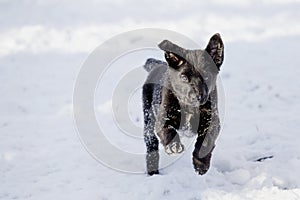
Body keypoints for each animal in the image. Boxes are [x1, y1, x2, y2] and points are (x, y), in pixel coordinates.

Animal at [143, 33, 225, 176]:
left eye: (207, 77)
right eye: (184, 78)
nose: (196, 97)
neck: (189, 107)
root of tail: (158, 65)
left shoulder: (212, 121)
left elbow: (206, 143)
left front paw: (201, 164)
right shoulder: (163, 118)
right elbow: (168, 131)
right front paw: (174, 146)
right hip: (148, 117)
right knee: (151, 142)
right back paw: (153, 172)